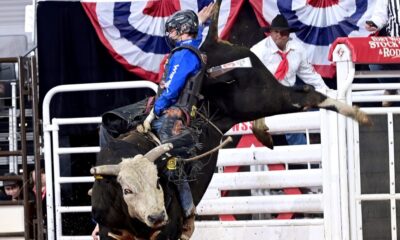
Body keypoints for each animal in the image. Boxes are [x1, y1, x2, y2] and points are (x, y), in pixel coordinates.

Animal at [89, 0, 370, 239]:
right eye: (127, 190)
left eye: (159, 182)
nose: (156, 216)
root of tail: (212, 42)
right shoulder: (110, 230)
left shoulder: (169, 229)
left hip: (261, 95)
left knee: (307, 94)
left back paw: (358, 114)